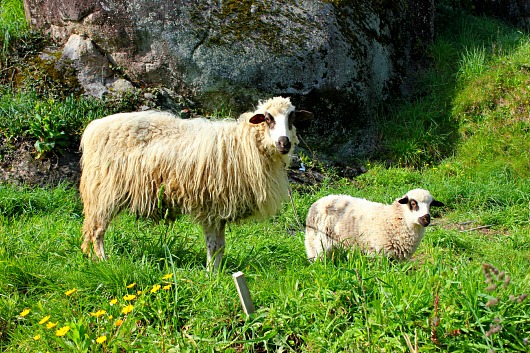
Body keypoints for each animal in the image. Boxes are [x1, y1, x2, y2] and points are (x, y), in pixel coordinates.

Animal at [80, 96, 312, 270]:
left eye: (292, 117)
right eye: (267, 118)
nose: (284, 143)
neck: (245, 144)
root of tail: (94, 127)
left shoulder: (221, 210)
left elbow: (220, 246)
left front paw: (218, 272)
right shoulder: (211, 205)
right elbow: (212, 244)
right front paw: (210, 273)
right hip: (104, 191)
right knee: (96, 231)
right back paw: (103, 261)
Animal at [302, 188, 442, 260]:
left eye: (431, 205)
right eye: (413, 203)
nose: (426, 219)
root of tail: (317, 202)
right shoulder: (379, 254)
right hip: (317, 245)